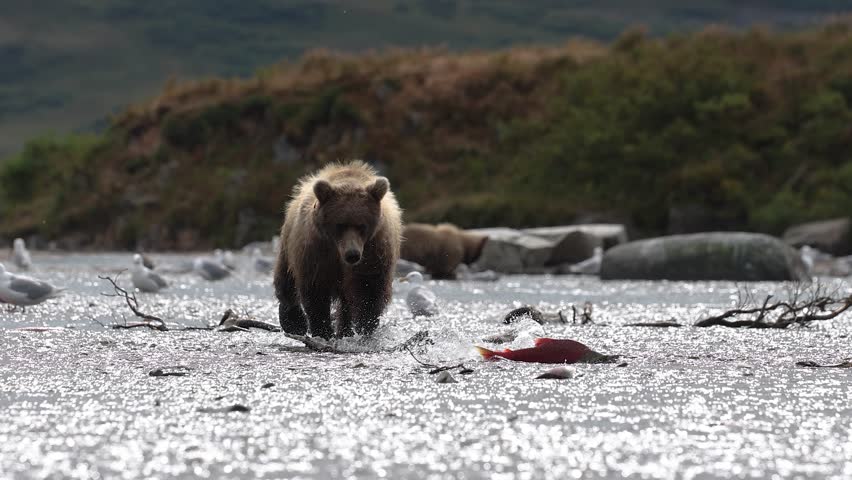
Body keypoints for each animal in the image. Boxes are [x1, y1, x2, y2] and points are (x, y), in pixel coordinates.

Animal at [274, 161, 402, 339]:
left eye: (362, 226)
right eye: (340, 225)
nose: (352, 254)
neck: (337, 252)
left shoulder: (374, 250)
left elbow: (369, 288)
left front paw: (365, 326)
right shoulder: (317, 251)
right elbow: (316, 290)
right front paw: (323, 331)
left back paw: (344, 330)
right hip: (289, 241)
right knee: (286, 279)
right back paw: (294, 322)